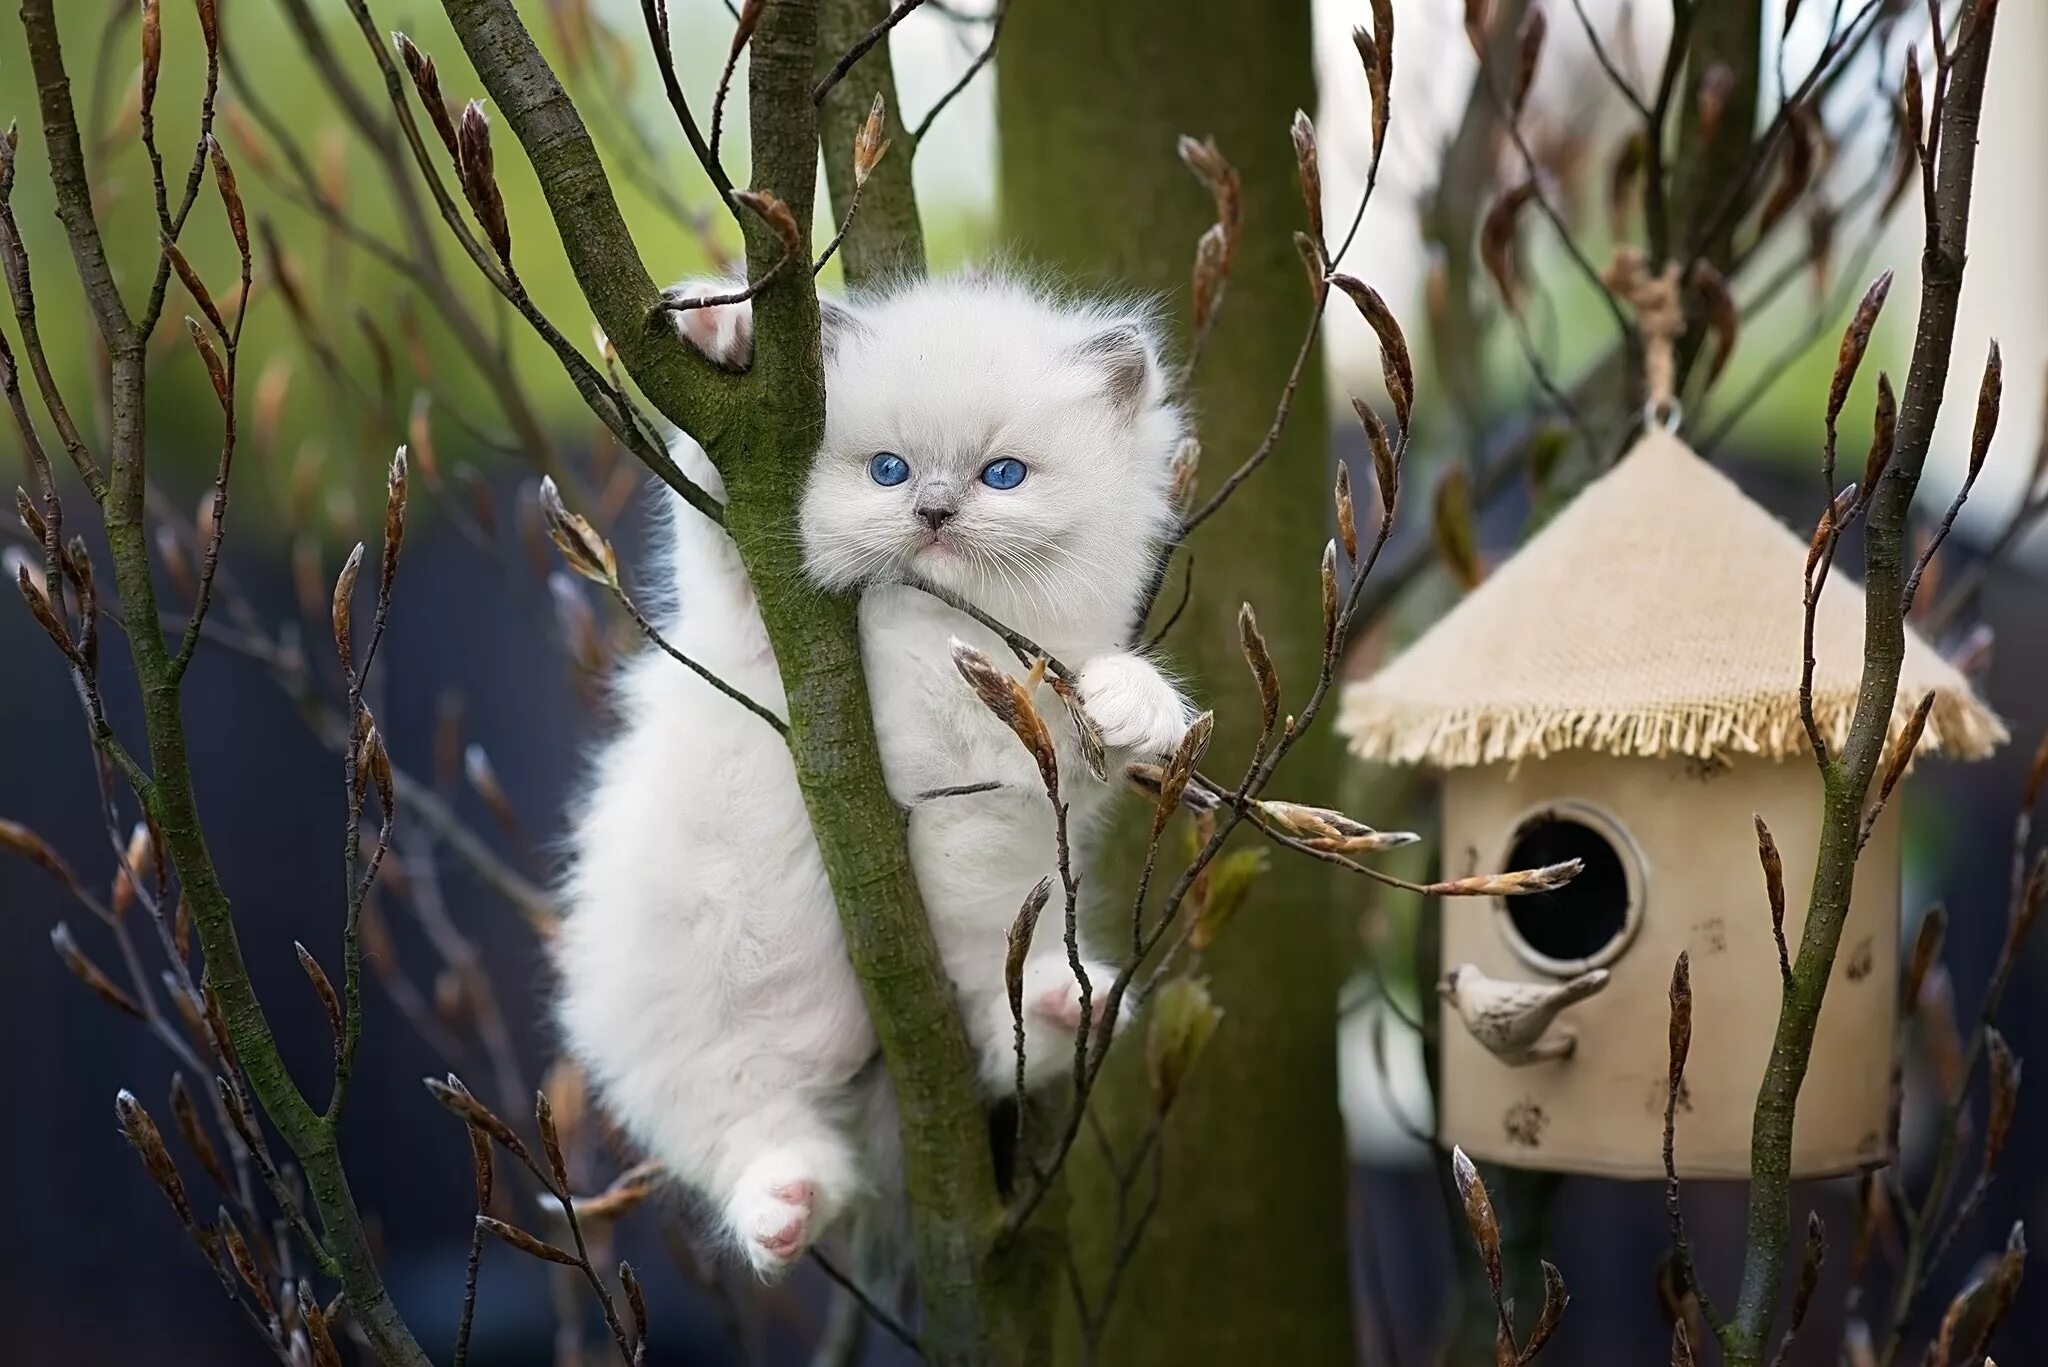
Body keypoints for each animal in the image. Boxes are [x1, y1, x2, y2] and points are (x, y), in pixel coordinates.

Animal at [557, 270, 1196, 1287]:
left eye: (1002, 475)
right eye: (888, 471)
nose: (931, 513)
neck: (933, 634)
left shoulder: (1036, 752)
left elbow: (1094, 696)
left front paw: (1137, 704)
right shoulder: (757, 609)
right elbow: (716, 507)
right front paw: (724, 328)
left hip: (997, 939)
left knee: (1003, 1033)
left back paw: (1068, 1002)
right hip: (695, 1037)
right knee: (752, 1130)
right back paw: (780, 1211)